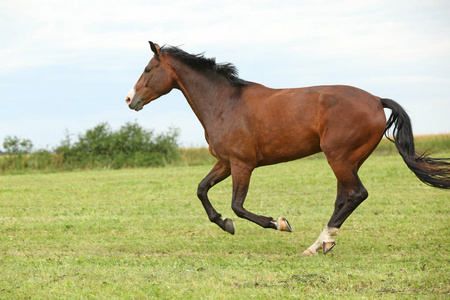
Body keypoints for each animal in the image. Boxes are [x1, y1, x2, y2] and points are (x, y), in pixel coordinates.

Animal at [124, 41, 450, 254]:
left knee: (357, 194)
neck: (224, 103)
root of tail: (376, 100)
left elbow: (238, 206)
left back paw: (317, 243)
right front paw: (224, 223)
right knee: (344, 199)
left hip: (339, 159)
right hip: (348, 161)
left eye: (148, 69)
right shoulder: (225, 163)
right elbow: (202, 190)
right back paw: (322, 244)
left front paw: (279, 223)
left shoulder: (242, 164)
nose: (129, 100)